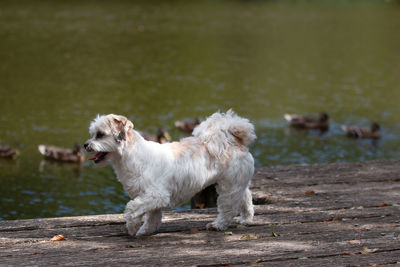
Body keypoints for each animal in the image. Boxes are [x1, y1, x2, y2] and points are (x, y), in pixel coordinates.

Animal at [84, 110, 256, 237]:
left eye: (100, 134)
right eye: (93, 134)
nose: (86, 144)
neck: (132, 156)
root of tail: (233, 140)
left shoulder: (157, 195)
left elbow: (132, 208)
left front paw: (132, 228)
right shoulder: (149, 198)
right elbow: (151, 217)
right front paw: (145, 231)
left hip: (228, 186)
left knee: (228, 208)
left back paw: (218, 225)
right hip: (236, 183)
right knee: (245, 198)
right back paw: (246, 219)